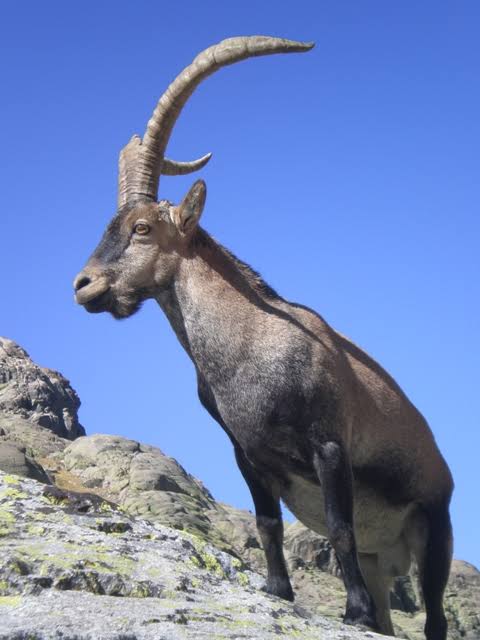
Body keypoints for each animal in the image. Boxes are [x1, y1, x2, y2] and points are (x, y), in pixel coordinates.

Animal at [74, 36, 453, 639]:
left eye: (142, 228)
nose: (83, 286)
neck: (249, 349)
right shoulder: (248, 454)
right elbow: (267, 523)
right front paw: (278, 592)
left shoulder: (328, 446)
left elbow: (339, 527)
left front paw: (352, 611)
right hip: (382, 556)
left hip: (435, 528)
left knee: (435, 612)